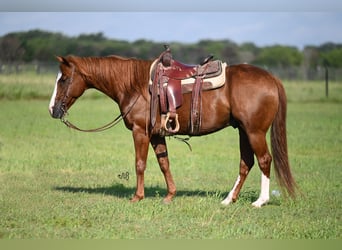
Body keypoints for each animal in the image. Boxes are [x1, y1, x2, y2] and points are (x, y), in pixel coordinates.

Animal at [48, 49, 296, 206]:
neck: (135, 85)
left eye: (63, 79)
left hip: (255, 132)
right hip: (243, 131)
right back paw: (228, 199)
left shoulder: (140, 132)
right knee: (246, 163)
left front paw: (137, 197)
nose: (52, 109)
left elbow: (140, 164)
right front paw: (170, 196)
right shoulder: (157, 134)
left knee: (264, 160)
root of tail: (271, 78)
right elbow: (164, 164)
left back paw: (260, 201)